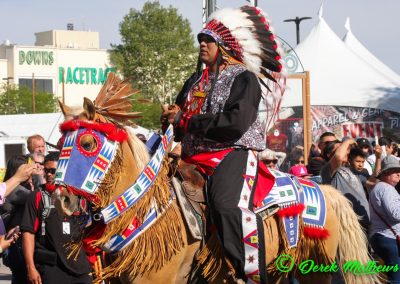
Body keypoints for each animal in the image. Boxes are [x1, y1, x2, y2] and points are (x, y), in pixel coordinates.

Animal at [51, 74, 380, 284]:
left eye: (89, 143)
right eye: (61, 141)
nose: (61, 198)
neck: (141, 208)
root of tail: (323, 189)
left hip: (316, 270)